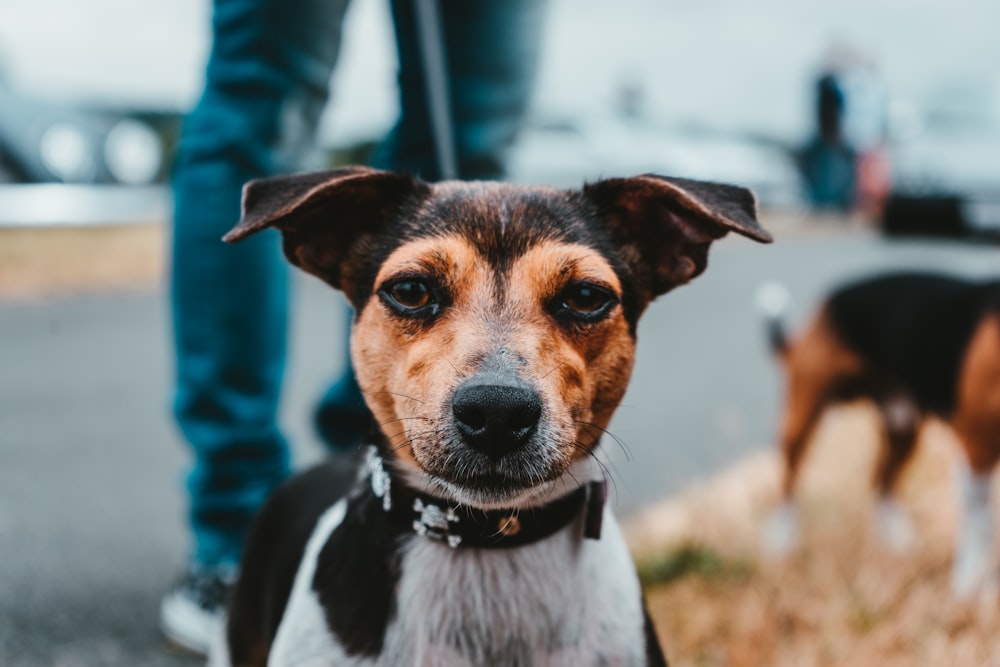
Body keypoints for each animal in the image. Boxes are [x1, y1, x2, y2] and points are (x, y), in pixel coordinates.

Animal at [760, 272, 1000, 600]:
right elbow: (981, 531)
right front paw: (973, 589)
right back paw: (784, 538)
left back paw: (896, 538)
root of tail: (825, 303)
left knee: (880, 480)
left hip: (903, 426)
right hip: (801, 418)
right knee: (789, 480)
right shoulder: (976, 454)